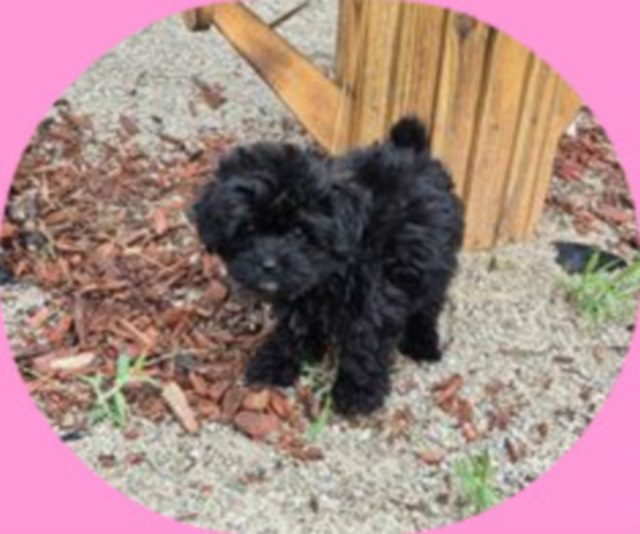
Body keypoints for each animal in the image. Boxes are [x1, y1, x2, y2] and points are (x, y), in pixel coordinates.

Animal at [194, 117, 464, 416]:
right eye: (248, 229)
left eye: (299, 232)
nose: (268, 264)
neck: (333, 271)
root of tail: (409, 148)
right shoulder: (300, 296)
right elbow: (293, 330)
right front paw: (275, 362)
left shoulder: (374, 302)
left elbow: (365, 347)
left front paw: (357, 392)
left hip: (435, 261)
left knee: (429, 303)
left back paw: (422, 341)